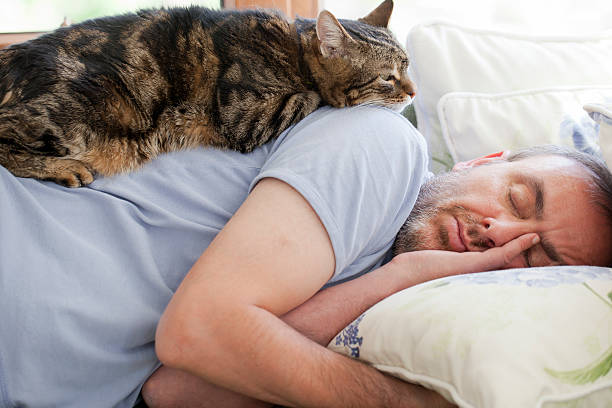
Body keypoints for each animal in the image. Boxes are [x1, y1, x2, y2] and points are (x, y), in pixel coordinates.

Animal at [0, 0, 416, 186]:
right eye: (387, 78)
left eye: (408, 66)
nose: (413, 93)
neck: (294, 50)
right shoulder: (244, 116)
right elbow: (312, 96)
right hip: (82, 109)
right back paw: (64, 168)